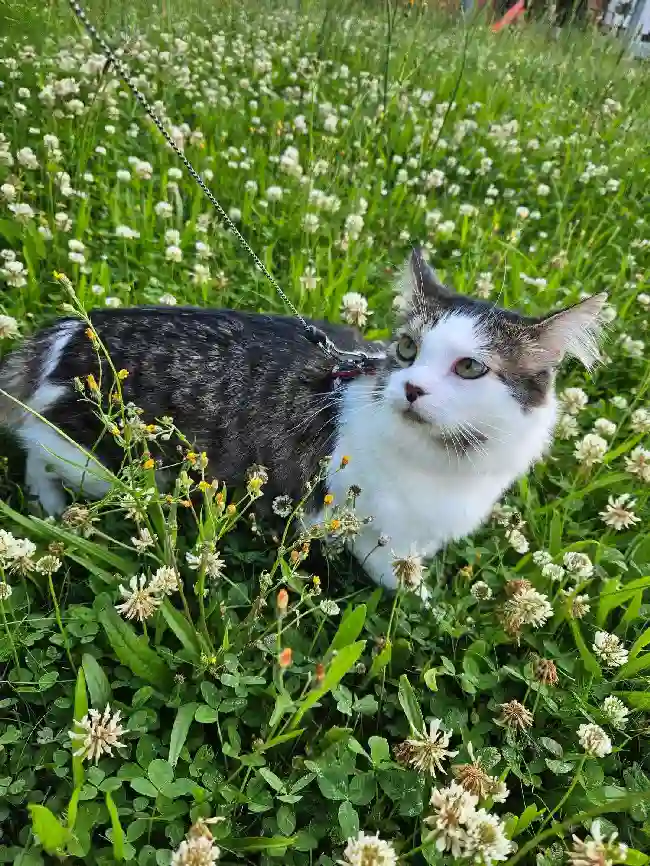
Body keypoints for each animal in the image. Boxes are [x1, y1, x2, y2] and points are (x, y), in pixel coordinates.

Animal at [0, 246, 604, 592]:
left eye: (471, 367)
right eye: (408, 349)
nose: (411, 387)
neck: (449, 463)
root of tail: (70, 330)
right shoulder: (367, 531)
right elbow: (398, 582)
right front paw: (419, 601)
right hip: (101, 466)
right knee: (33, 448)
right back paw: (48, 507)